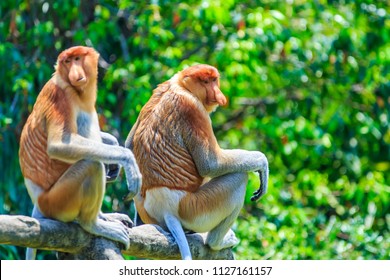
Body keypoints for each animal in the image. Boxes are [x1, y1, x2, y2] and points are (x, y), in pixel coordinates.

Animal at [18, 45, 142, 258]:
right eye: (67, 62)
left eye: (77, 59)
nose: (75, 74)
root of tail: (38, 203)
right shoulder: (60, 97)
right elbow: (59, 145)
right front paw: (128, 161)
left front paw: (112, 143)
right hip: (57, 202)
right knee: (92, 164)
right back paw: (94, 224)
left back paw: (105, 216)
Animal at [125, 64, 268, 260]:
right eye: (206, 81)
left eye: (214, 80)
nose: (219, 95)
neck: (181, 86)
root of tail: (164, 208)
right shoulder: (193, 109)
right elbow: (211, 164)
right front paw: (262, 163)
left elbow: (128, 144)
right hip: (194, 208)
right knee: (238, 177)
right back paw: (216, 242)